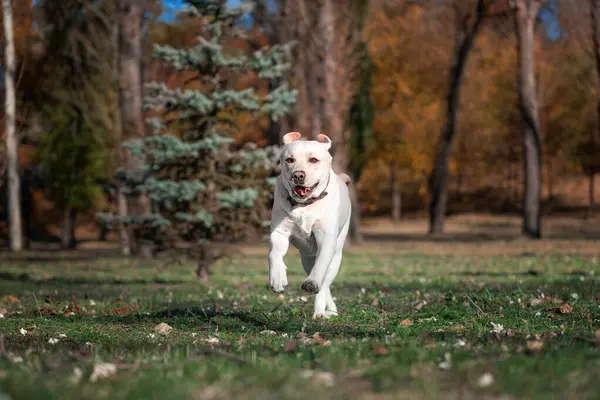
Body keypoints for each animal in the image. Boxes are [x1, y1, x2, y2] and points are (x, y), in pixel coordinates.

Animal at [268, 131, 352, 318]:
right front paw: (277, 279)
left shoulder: (326, 238)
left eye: (313, 160)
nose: (298, 175)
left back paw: (322, 310)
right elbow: (274, 254)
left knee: (325, 283)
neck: (304, 205)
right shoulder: (279, 232)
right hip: (306, 258)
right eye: (290, 159)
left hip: (336, 256)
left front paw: (312, 282)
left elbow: (320, 266)